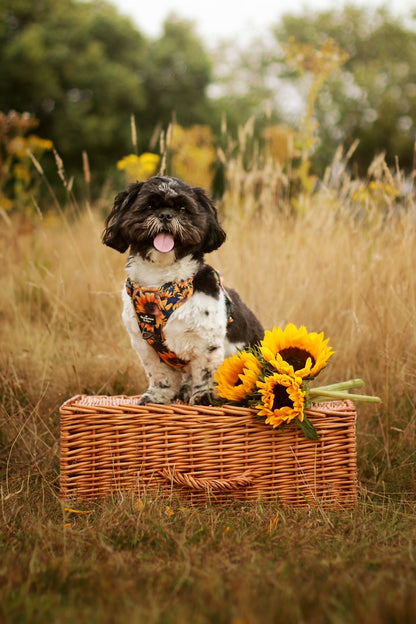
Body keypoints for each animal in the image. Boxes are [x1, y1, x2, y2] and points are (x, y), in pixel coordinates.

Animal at [103, 174, 264, 404]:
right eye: (149, 206)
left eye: (182, 208)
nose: (165, 215)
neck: (162, 284)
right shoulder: (145, 346)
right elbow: (159, 374)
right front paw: (157, 396)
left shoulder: (207, 342)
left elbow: (206, 372)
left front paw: (204, 397)